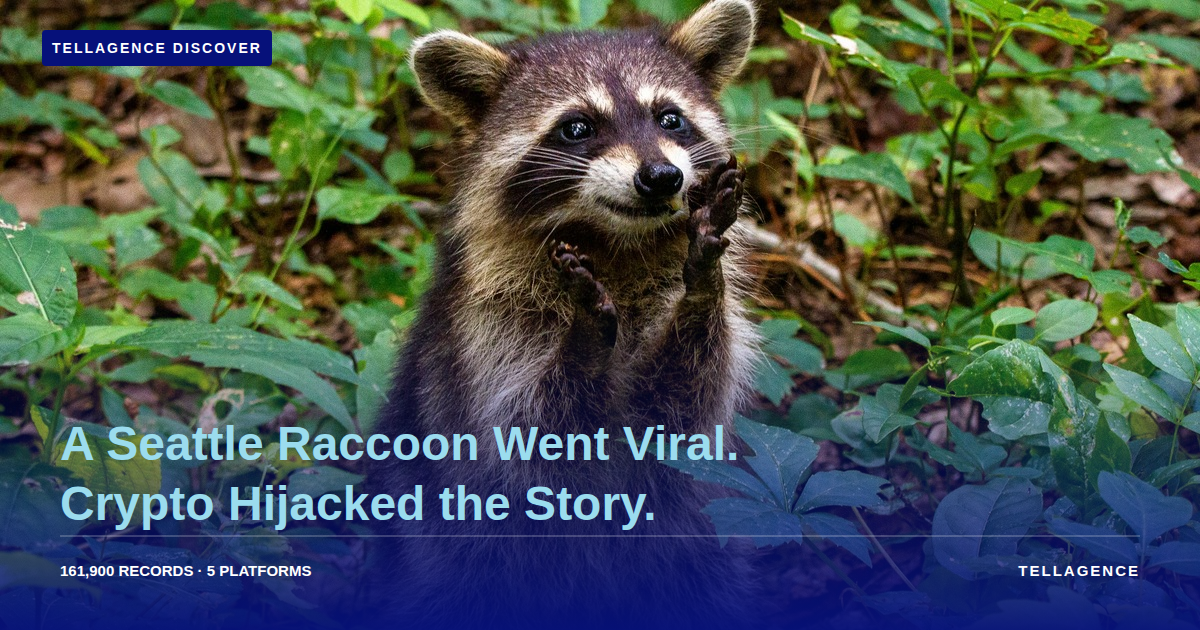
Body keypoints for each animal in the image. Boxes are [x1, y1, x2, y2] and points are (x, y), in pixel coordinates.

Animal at [367, 1, 761, 625]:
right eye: (577, 127)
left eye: (670, 118)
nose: (661, 176)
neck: (616, 244)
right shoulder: (488, 327)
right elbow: (531, 431)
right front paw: (584, 340)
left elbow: (685, 406)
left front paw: (701, 287)